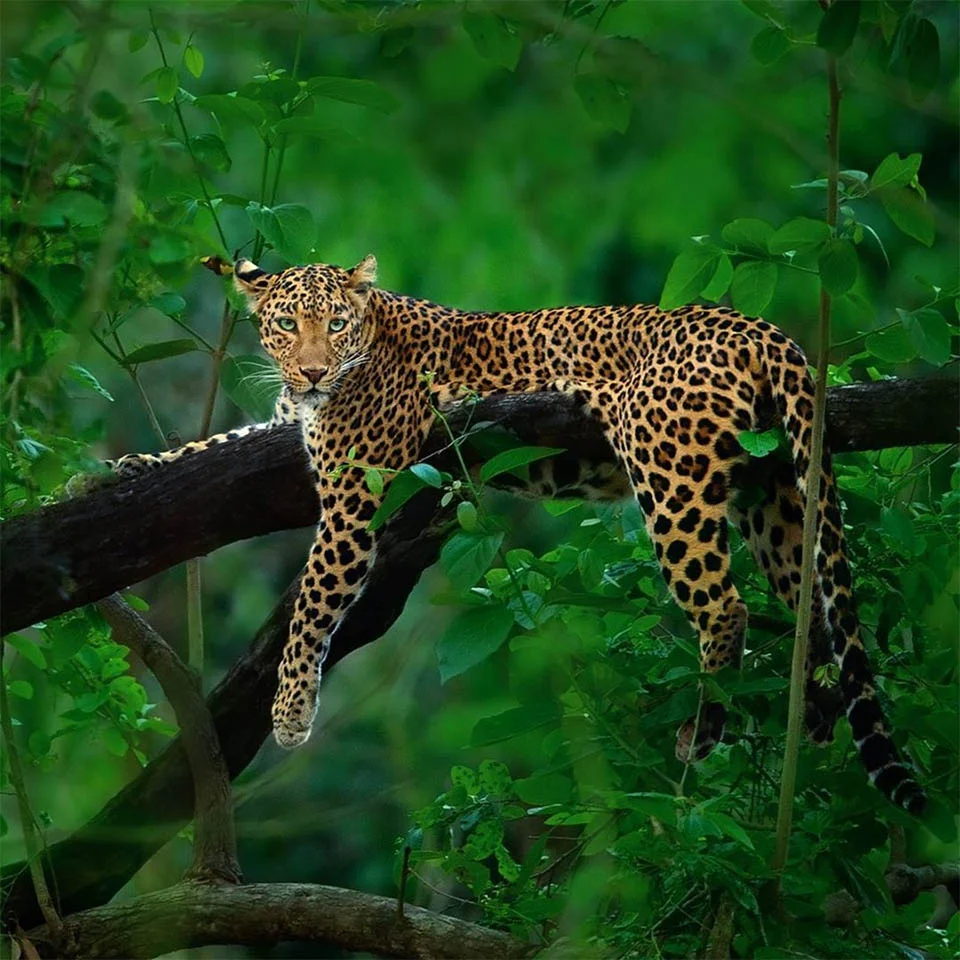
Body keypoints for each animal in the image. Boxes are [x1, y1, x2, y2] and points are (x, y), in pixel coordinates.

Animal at [112, 254, 925, 814]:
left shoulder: (353, 492)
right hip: (774, 490)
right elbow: (212, 443)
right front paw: (131, 466)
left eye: (335, 324)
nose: (311, 371)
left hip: (669, 468)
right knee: (809, 611)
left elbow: (312, 603)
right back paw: (811, 722)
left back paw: (703, 729)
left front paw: (289, 712)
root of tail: (759, 325)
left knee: (724, 606)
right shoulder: (286, 426)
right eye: (286, 325)